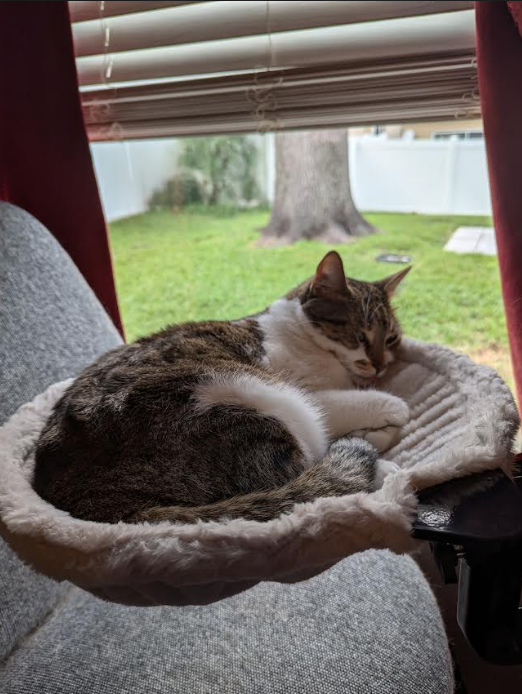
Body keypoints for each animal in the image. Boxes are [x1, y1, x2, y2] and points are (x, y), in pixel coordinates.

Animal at [33, 253, 410, 524]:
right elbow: (357, 402)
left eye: (391, 338)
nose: (379, 365)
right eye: (360, 336)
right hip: (266, 400)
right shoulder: (308, 391)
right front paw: (393, 410)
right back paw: (381, 466)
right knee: (301, 474)